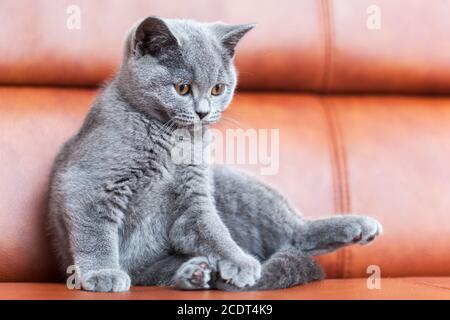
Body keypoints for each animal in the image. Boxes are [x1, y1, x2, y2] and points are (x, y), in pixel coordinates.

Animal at [47, 16, 382, 292]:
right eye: (182, 88)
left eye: (218, 88)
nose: (203, 112)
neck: (172, 140)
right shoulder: (89, 184)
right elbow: (96, 234)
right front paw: (103, 273)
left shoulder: (194, 195)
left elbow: (213, 230)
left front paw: (239, 261)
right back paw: (195, 273)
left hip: (231, 182)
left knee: (295, 233)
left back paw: (358, 227)